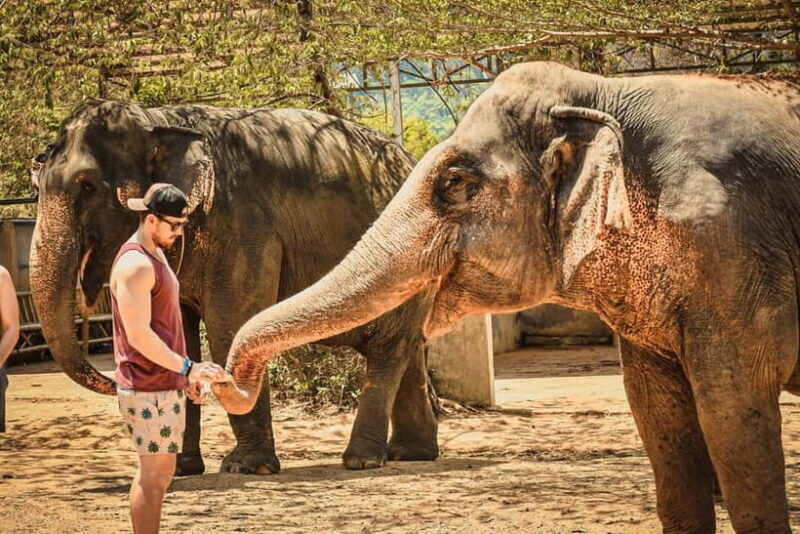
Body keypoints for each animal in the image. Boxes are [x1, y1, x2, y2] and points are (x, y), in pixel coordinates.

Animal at [29, 100, 440, 475]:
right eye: (36, 185)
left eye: (87, 186)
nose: (110, 381)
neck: (158, 119)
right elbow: (176, 331)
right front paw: (179, 469)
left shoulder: (243, 226)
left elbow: (231, 324)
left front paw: (246, 467)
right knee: (408, 352)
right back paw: (409, 454)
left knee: (388, 349)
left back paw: (362, 460)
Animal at [214, 62, 800, 532]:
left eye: (453, 183)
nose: (220, 379)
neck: (605, 92)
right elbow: (658, 414)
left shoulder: (730, 245)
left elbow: (732, 407)